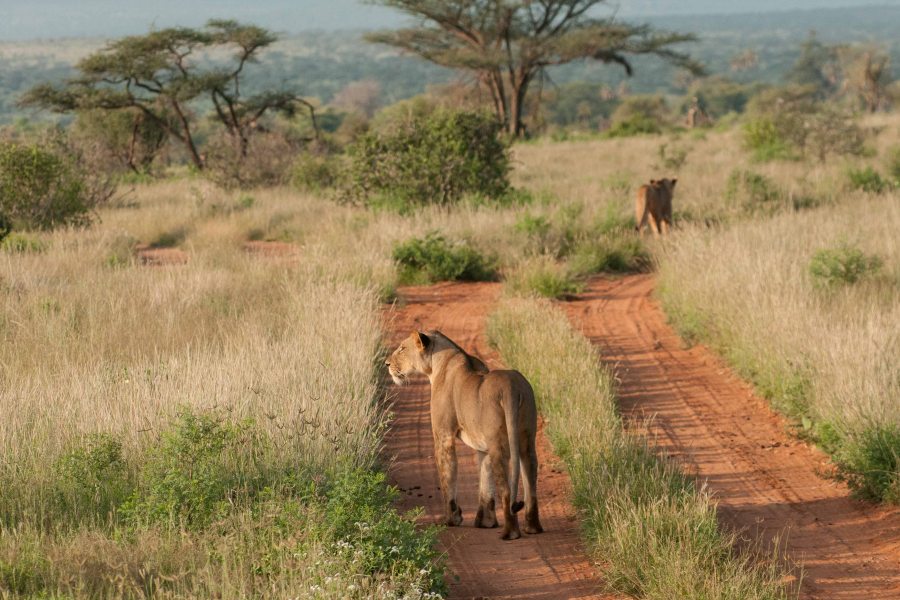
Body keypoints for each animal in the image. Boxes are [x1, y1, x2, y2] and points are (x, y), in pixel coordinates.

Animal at [384, 330, 540, 540]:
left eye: (402, 348)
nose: (387, 364)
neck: (437, 364)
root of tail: (512, 387)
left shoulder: (443, 436)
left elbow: (447, 476)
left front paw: (451, 519)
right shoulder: (482, 447)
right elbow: (485, 482)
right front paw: (486, 522)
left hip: (498, 444)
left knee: (507, 490)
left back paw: (510, 533)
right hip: (527, 440)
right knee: (531, 484)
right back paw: (533, 527)